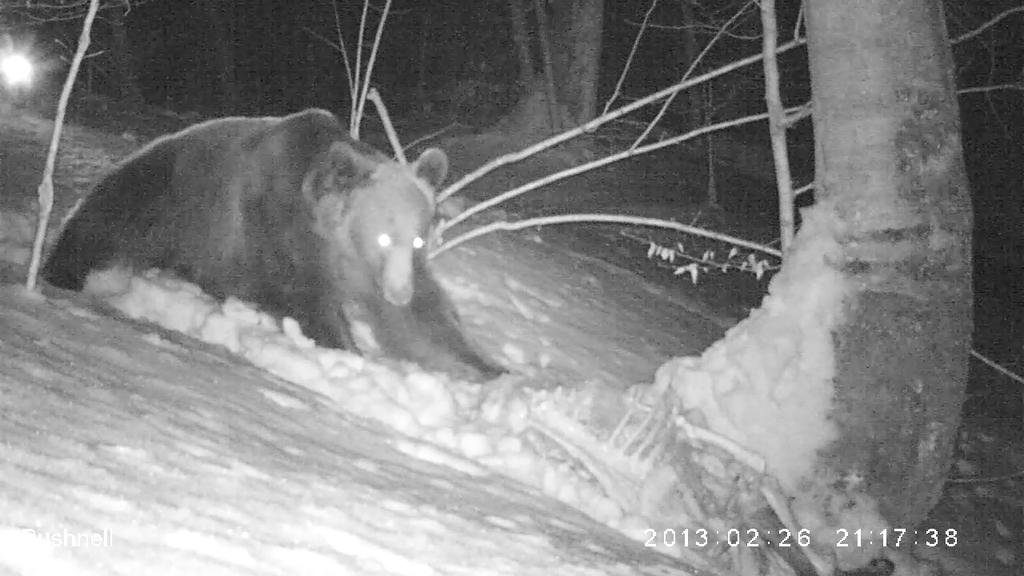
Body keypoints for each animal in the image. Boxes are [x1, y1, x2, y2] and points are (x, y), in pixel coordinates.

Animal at [44, 107, 507, 379]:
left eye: (418, 238)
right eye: (382, 235)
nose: (399, 291)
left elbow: (425, 324)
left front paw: (491, 368)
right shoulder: (279, 230)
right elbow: (307, 302)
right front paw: (350, 350)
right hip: (163, 199)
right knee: (103, 226)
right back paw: (63, 270)